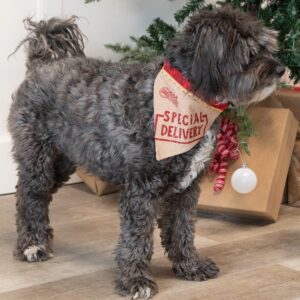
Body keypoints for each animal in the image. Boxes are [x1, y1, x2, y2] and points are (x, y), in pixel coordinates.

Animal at [7, 5, 284, 298]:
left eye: (267, 45)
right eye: (249, 49)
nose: (280, 69)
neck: (189, 96)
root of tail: (42, 64)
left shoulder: (186, 189)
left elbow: (182, 230)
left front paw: (190, 266)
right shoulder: (141, 189)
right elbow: (137, 239)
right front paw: (135, 281)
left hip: (62, 161)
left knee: (39, 196)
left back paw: (43, 238)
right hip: (38, 157)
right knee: (29, 196)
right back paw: (32, 246)